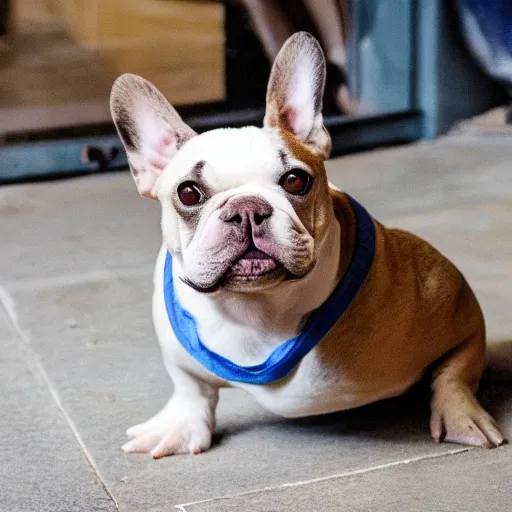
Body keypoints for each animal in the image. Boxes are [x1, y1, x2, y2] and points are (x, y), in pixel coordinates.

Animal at [111, 32, 504, 458]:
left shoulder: (452, 303)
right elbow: (190, 387)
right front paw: (179, 425)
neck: (255, 308)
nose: (247, 209)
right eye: (188, 192)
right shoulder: (179, 355)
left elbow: (456, 365)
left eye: (296, 181)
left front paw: (458, 407)